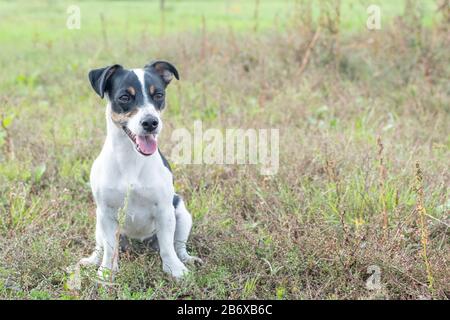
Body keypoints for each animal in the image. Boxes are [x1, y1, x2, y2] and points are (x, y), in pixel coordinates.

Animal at [80, 61, 201, 278]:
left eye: (159, 95)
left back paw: (186, 259)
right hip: (98, 223)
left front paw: (175, 270)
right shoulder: (106, 212)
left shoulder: (164, 210)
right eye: (125, 97)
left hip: (182, 214)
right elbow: (109, 248)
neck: (131, 158)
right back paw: (92, 260)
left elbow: (168, 248)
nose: (151, 122)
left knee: (177, 246)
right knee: (101, 246)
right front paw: (106, 272)